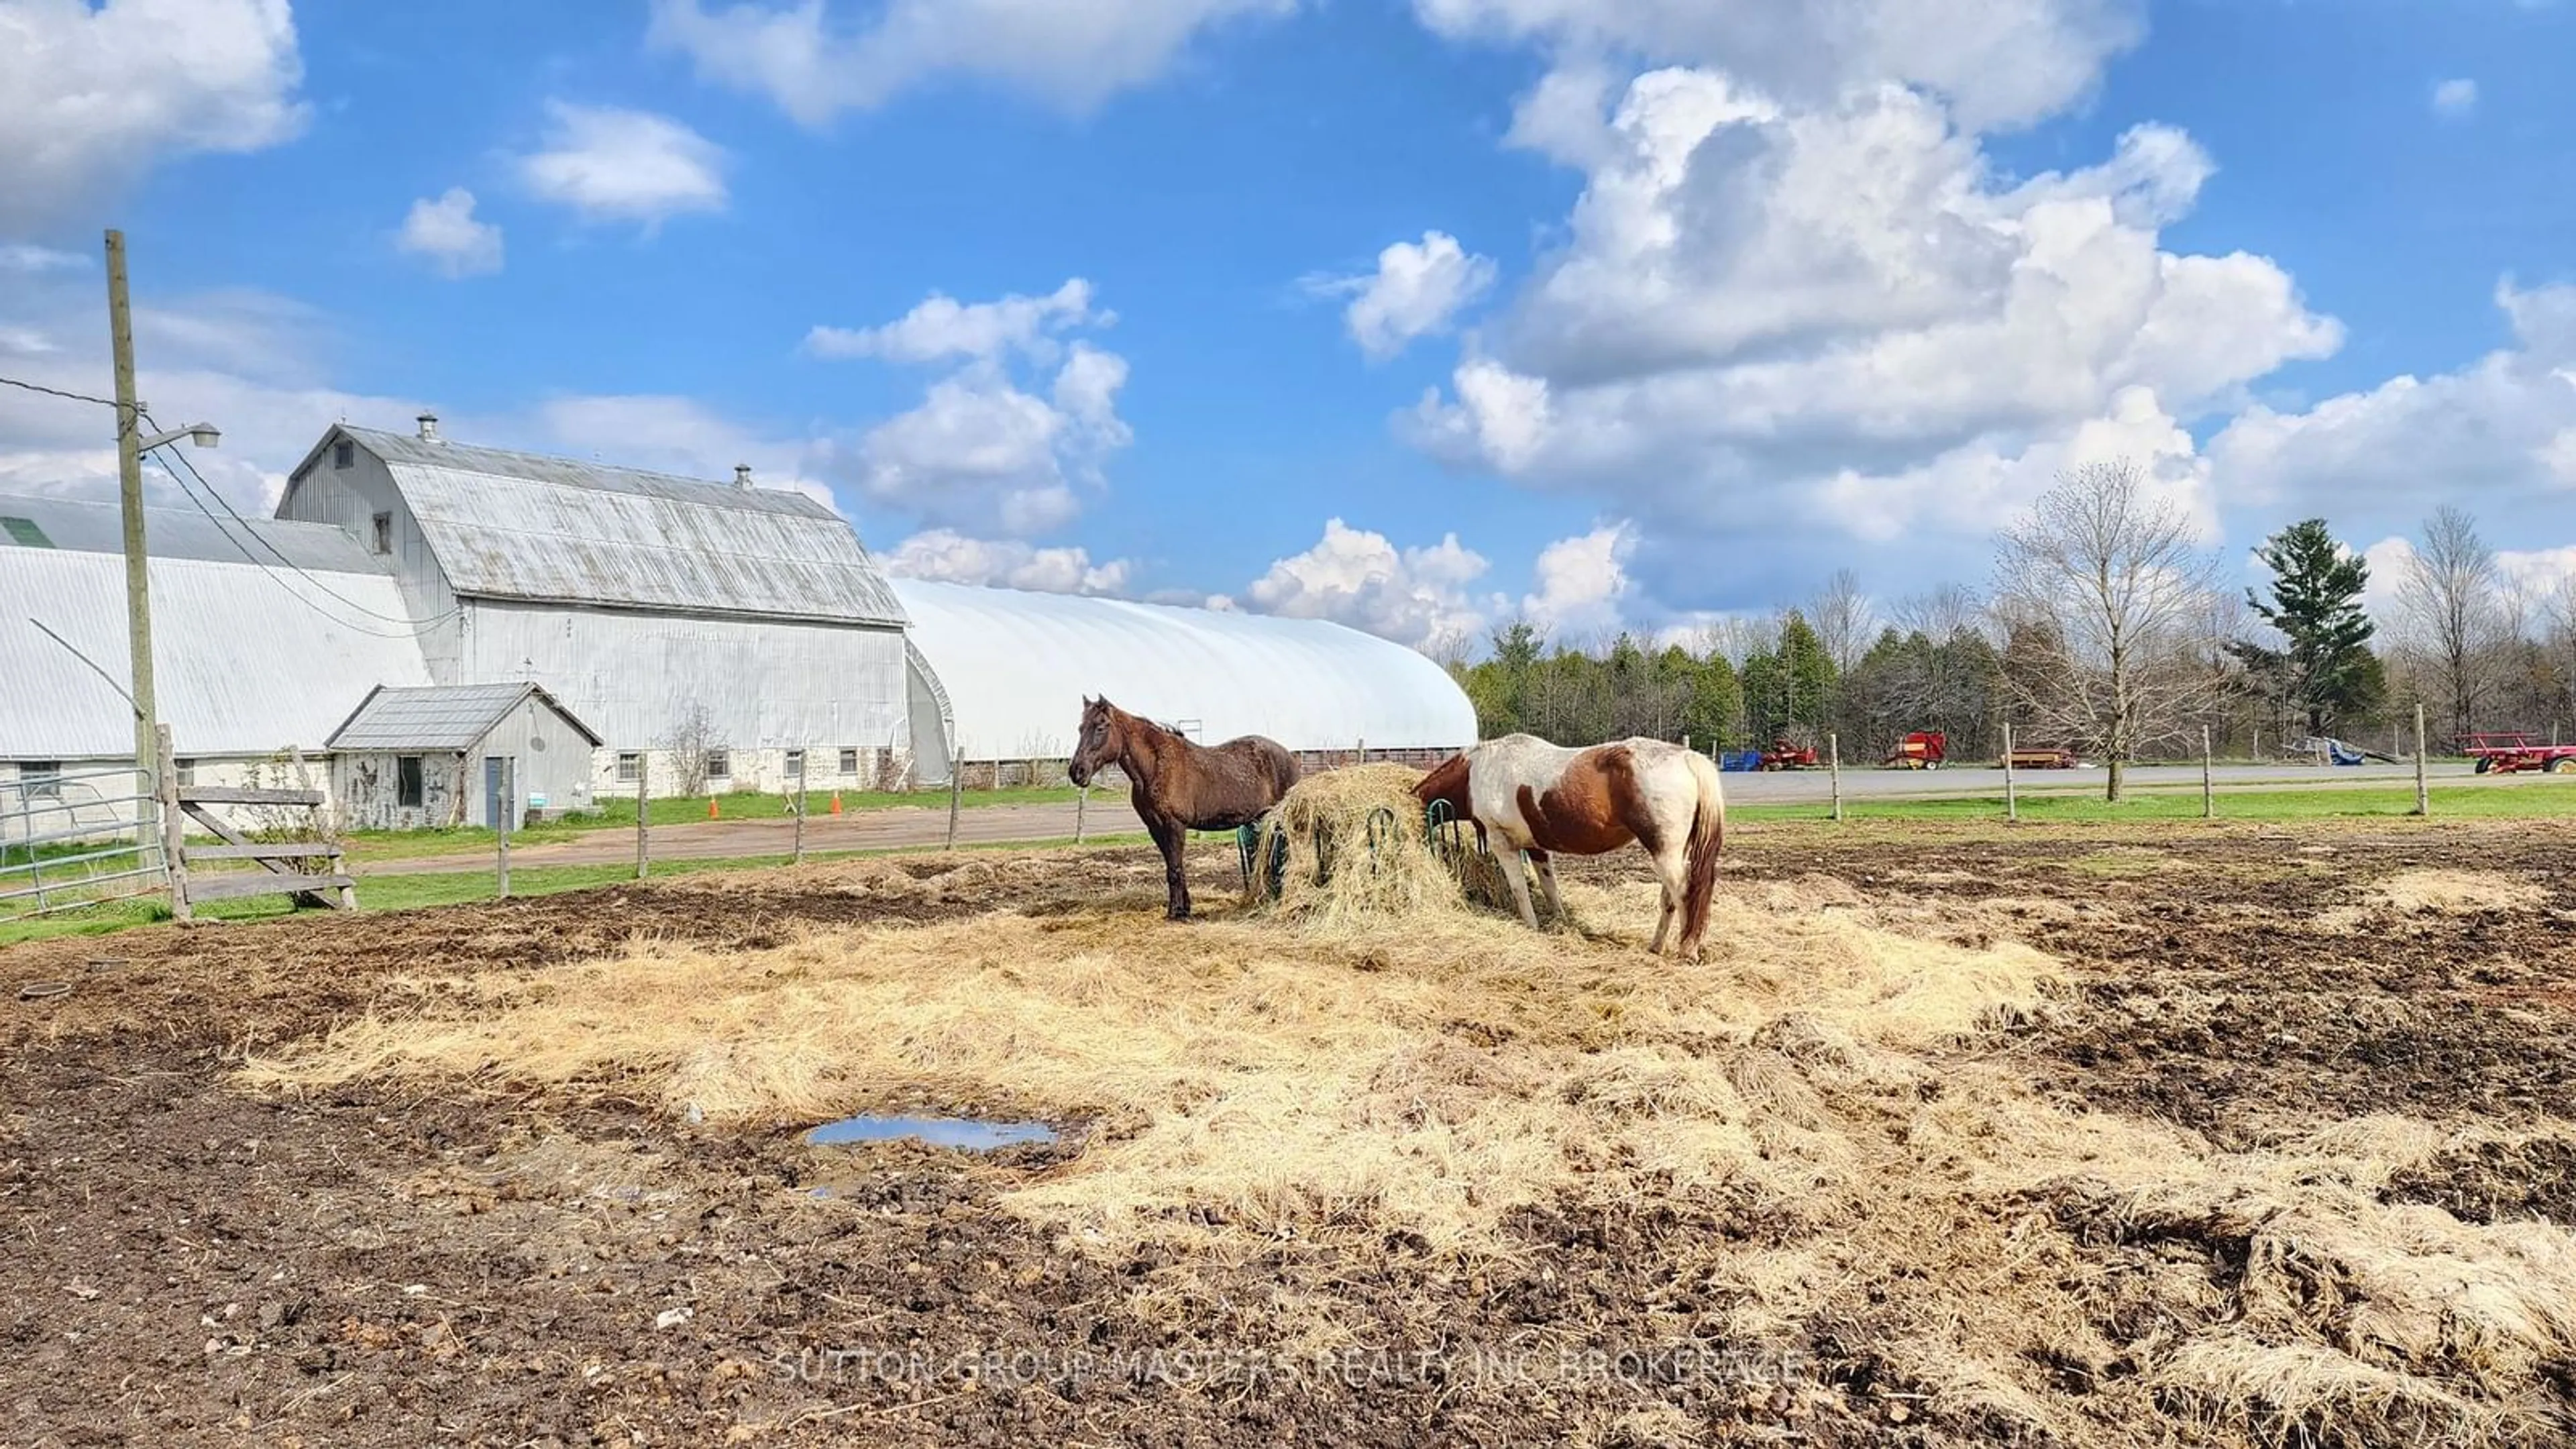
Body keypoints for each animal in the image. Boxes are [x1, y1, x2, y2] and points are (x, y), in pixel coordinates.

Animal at [1071, 696, 1308, 918]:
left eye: (1101, 727)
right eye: (1080, 728)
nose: (1077, 771)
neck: (1156, 766)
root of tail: (1290, 757)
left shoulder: (1175, 825)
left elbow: (1175, 870)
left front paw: (1176, 912)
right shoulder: (1155, 828)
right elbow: (1173, 867)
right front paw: (1183, 908)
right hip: (1261, 819)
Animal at [1411, 732, 1731, 959]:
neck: (1476, 772)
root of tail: (1687, 757)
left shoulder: (1502, 843)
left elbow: (1519, 889)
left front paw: (1531, 926)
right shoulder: (1536, 847)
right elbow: (1550, 888)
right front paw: (1561, 925)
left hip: (1664, 851)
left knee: (1685, 893)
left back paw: (1687, 950)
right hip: (1671, 853)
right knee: (1670, 898)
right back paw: (1656, 946)